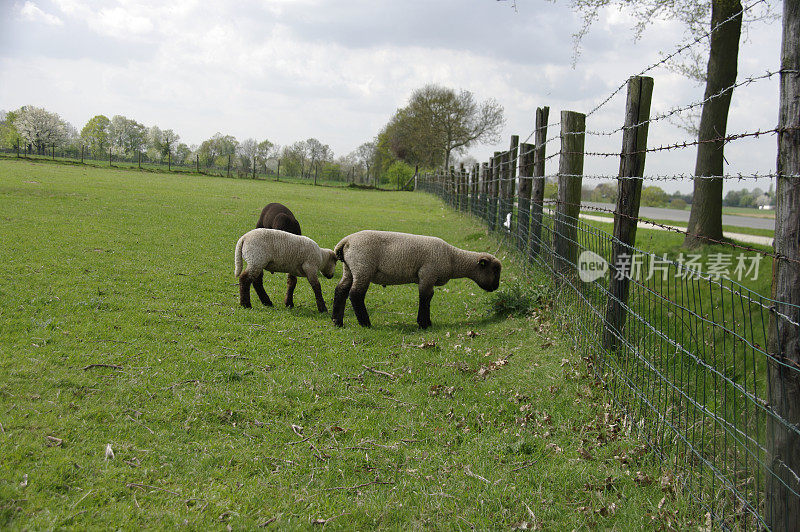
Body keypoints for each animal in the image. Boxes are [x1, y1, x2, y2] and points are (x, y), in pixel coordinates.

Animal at [332, 230, 500, 328]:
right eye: (495, 270)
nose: (496, 287)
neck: (453, 259)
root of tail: (346, 241)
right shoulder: (428, 274)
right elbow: (425, 298)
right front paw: (424, 323)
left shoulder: (428, 277)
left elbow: (427, 297)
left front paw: (426, 322)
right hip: (363, 267)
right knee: (356, 294)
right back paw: (365, 323)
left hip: (349, 268)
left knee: (341, 290)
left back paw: (337, 321)